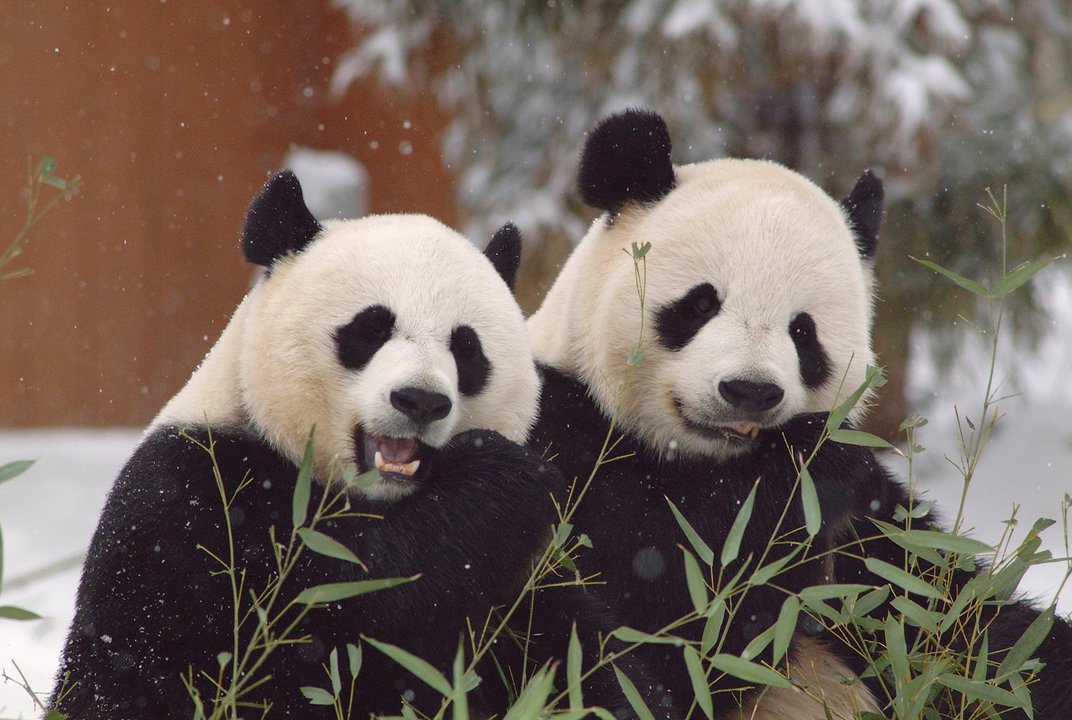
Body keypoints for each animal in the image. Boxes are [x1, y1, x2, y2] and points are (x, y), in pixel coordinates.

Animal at [51, 171, 565, 719]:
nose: (421, 400)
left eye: (466, 348)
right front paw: (502, 483)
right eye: (370, 328)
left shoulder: (531, 588)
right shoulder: (192, 501)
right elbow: (331, 603)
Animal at [527, 109, 1072, 719]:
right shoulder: (564, 440)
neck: (704, 462)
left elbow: (972, 632)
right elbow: (665, 616)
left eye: (803, 333)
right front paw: (809, 465)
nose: (749, 391)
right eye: (700, 303)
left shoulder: (876, 542)